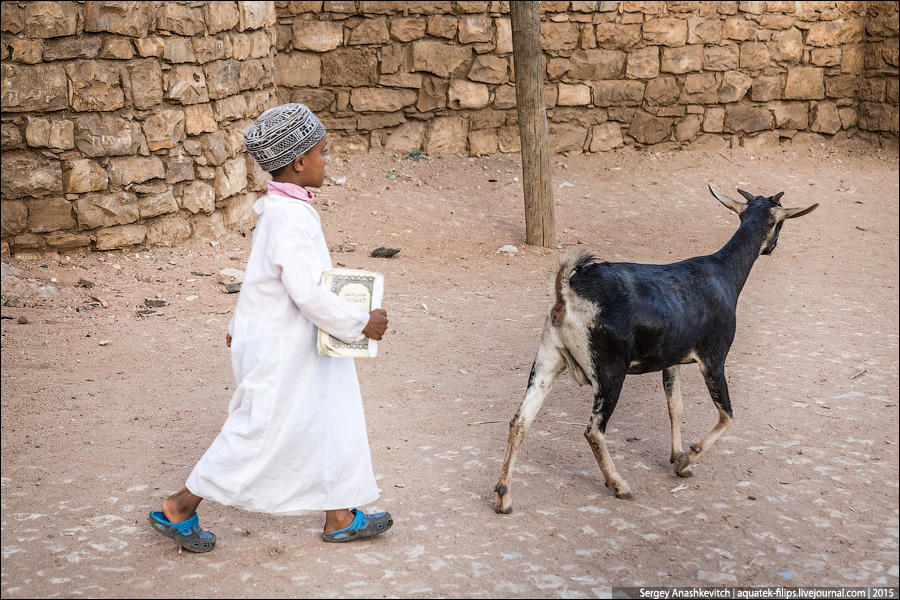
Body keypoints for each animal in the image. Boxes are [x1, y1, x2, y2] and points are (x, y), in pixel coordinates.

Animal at [496, 186, 820, 510]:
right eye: (780, 223)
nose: (771, 248)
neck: (724, 272)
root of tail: (566, 293)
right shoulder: (713, 358)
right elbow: (727, 414)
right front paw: (688, 457)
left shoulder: (672, 360)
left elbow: (675, 407)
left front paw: (678, 459)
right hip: (610, 372)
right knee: (593, 431)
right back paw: (619, 485)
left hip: (547, 361)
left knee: (519, 421)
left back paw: (504, 497)